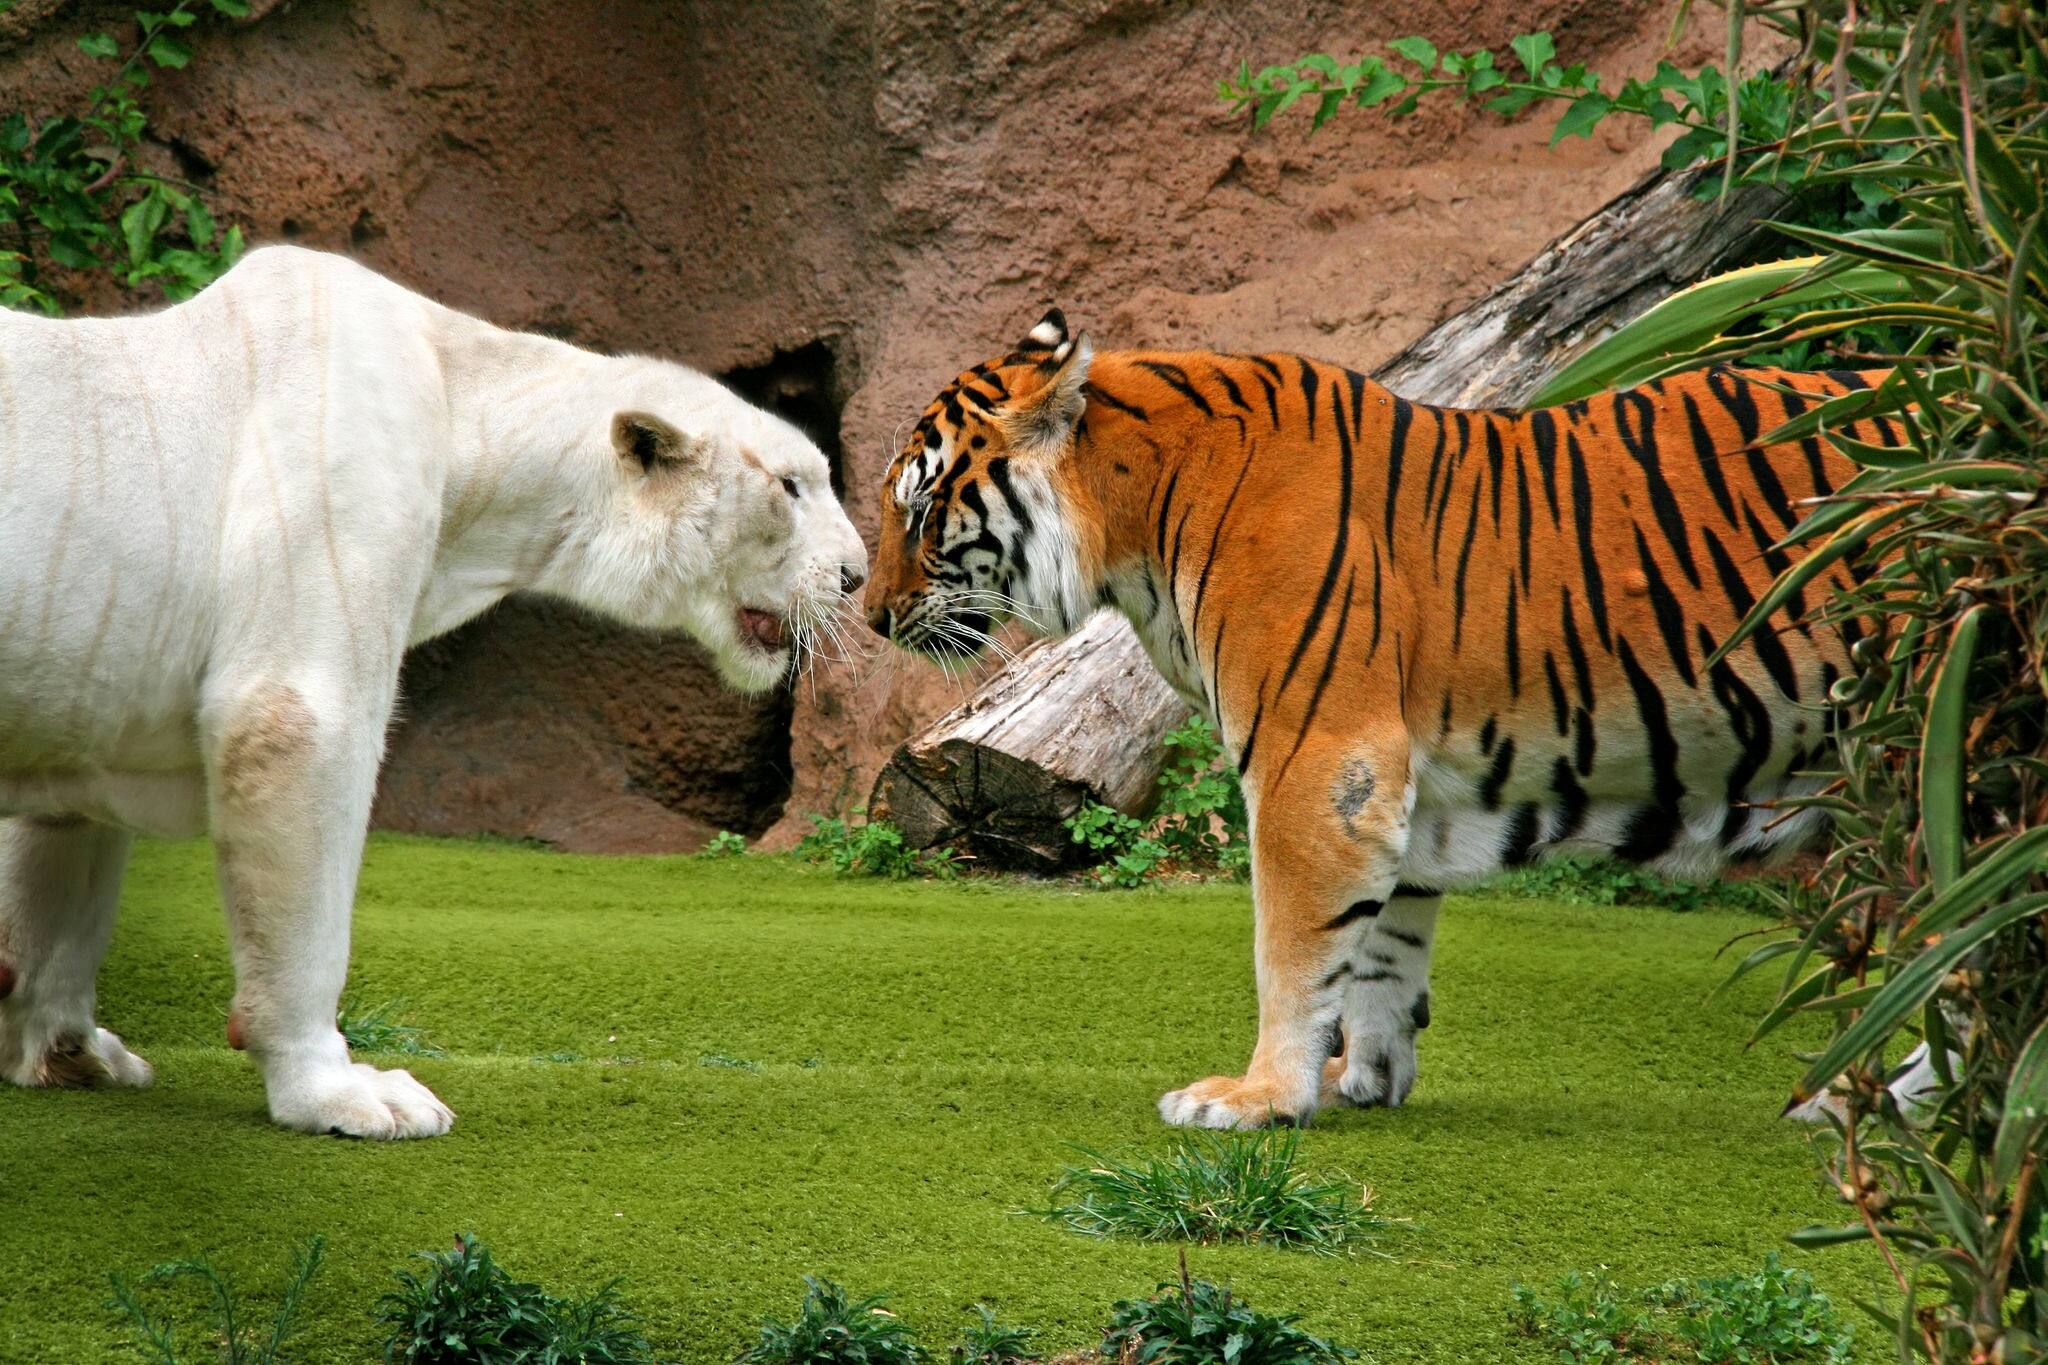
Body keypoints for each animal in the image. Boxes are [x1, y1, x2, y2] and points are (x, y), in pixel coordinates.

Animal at [864, 308, 1898, 1130]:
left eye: (919, 511)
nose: (870, 615)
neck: (1138, 514)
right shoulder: (1401, 778)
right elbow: (1380, 950)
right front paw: (1361, 1077)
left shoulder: (1314, 752)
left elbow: (1290, 946)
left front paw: (1256, 1097)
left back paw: (1847, 1111)